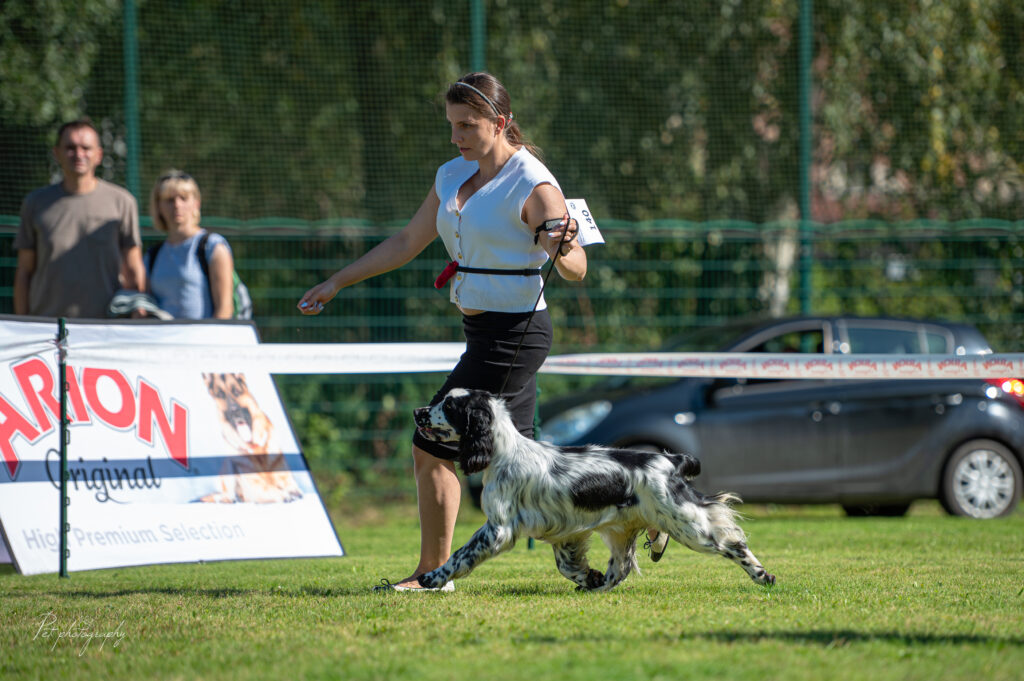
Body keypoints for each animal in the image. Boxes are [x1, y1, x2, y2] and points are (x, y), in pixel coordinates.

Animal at [200, 372, 302, 504]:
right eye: (220, 395)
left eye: (236, 391)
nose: (234, 412)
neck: (256, 448)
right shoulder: (256, 489)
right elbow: (272, 490)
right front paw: (285, 495)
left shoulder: (286, 479)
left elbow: (291, 486)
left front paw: (291, 491)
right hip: (228, 467)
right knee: (226, 496)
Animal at [413, 388, 775, 591]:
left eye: (449, 406)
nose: (417, 412)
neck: (504, 452)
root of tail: (671, 460)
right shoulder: (564, 533)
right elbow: (569, 565)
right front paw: (591, 579)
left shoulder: (498, 529)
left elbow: (461, 554)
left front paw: (432, 578)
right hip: (622, 531)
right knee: (621, 569)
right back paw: (599, 590)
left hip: (688, 525)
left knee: (733, 543)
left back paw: (763, 576)